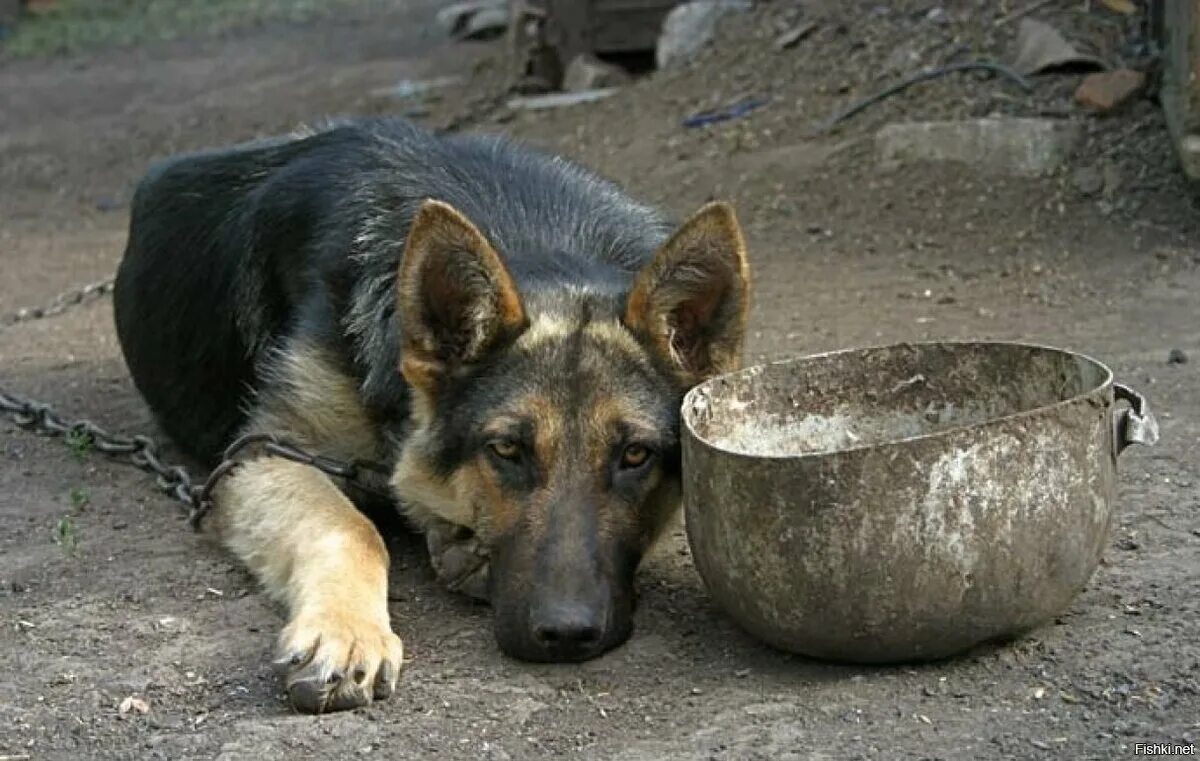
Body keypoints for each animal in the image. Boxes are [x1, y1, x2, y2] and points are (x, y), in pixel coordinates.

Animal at [112, 115, 748, 710]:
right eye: (506, 450)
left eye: (635, 455)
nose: (567, 635)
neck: (537, 237)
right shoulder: (263, 453)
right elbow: (351, 527)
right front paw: (346, 633)